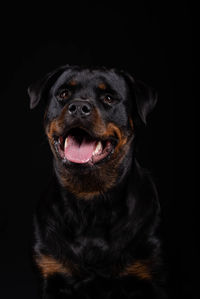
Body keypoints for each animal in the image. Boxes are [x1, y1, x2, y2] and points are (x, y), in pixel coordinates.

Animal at [27, 66, 166, 299]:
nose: (78, 107)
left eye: (109, 98)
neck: (89, 198)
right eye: (63, 94)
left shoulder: (145, 276)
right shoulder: (52, 272)